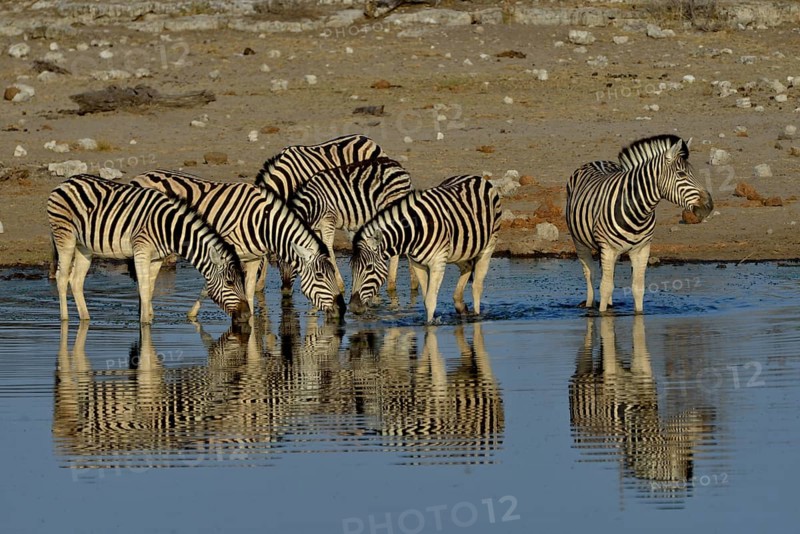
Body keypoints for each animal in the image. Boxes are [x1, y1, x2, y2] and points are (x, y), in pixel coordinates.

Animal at [47, 174, 250, 325]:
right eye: (230, 283)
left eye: (242, 281)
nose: (247, 315)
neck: (169, 228)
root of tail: (67, 181)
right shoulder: (141, 251)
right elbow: (143, 288)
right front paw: (145, 324)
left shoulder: (157, 258)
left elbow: (150, 289)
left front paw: (148, 318)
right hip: (65, 237)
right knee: (62, 277)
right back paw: (64, 319)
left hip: (84, 247)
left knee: (76, 281)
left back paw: (85, 318)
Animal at [130, 170, 346, 319]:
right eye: (320, 276)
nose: (342, 309)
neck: (262, 222)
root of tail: (139, 176)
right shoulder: (222, 252)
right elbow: (210, 286)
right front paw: (192, 314)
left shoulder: (253, 257)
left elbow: (248, 293)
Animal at [288, 157, 415, 293]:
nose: (285, 290)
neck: (314, 204)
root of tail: (399, 166)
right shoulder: (316, 228)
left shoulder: (328, 219)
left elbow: (328, 248)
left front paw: (339, 285)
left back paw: (397, 285)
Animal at [349, 175, 501, 323]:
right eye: (352, 268)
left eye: (369, 267)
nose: (353, 307)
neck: (414, 231)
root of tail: (476, 177)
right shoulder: (418, 264)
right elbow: (425, 300)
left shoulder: (438, 262)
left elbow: (430, 301)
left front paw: (429, 325)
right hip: (460, 250)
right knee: (468, 266)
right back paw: (460, 304)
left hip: (488, 246)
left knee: (477, 287)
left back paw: (476, 315)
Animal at [565, 134, 713, 313]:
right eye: (681, 174)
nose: (709, 206)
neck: (638, 211)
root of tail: (597, 161)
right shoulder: (608, 248)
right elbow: (605, 287)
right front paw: (603, 314)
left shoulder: (641, 250)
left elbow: (638, 288)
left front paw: (638, 314)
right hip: (580, 241)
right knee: (590, 274)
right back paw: (589, 305)